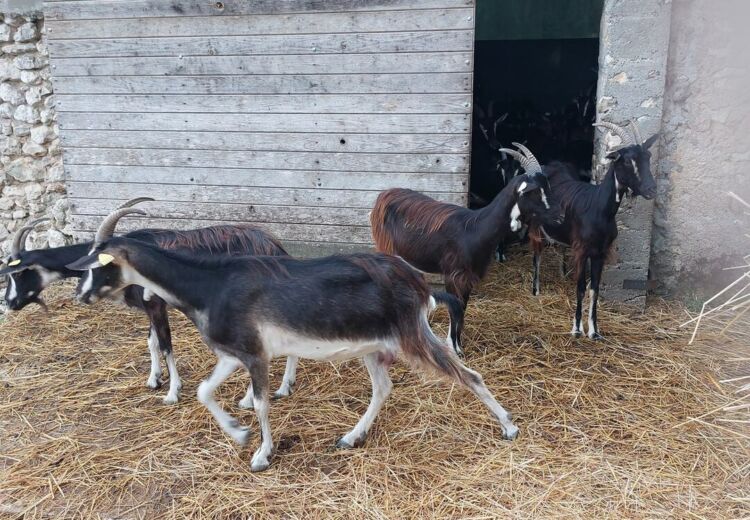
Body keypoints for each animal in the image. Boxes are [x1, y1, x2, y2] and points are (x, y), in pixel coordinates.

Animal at [0, 199, 292, 405]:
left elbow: (165, 345)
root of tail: (274, 246)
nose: (10, 303)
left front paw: (173, 392)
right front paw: (154, 379)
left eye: (19, 273)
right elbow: (151, 342)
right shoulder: (149, 309)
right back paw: (283, 387)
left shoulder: (156, 306)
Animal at [66, 209, 516, 472]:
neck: (211, 285)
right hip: (375, 346)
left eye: (99, 264)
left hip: (411, 336)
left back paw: (509, 426)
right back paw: (351, 437)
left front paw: (261, 455)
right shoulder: (235, 353)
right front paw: (239, 433)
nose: (80, 295)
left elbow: (262, 403)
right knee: (383, 388)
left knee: (469, 375)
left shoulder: (255, 355)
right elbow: (204, 391)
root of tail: (419, 283)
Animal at [371, 148, 563, 353]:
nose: (560, 216)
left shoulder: (469, 276)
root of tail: (384, 196)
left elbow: (463, 308)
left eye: (548, 187)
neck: (475, 229)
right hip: (386, 247)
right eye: (534, 192)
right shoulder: (452, 275)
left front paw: (459, 346)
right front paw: (454, 348)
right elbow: (454, 308)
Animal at [527, 121, 658, 339]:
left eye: (648, 157)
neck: (598, 208)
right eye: (627, 161)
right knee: (537, 255)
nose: (651, 189)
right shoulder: (582, 250)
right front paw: (576, 329)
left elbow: (594, 289)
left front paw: (594, 331)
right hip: (536, 227)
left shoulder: (600, 253)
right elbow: (580, 288)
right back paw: (536, 291)